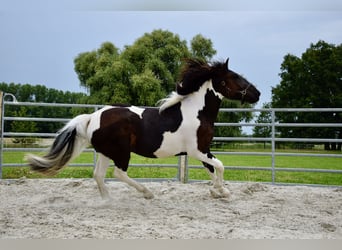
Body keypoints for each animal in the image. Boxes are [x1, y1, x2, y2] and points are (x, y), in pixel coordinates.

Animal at [25, 58, 260, 199]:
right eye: (234, 77)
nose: (257, 93)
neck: (197, 111)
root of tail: (92, 118)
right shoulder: (197, 150)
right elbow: (219, 165)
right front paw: (221, 191)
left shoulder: (204, 150)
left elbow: (213, 169)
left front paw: (219, 191)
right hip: (121, 153)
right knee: (118, 173)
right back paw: (146, 192)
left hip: (105, 152)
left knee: (98, 175)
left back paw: (108, 201)